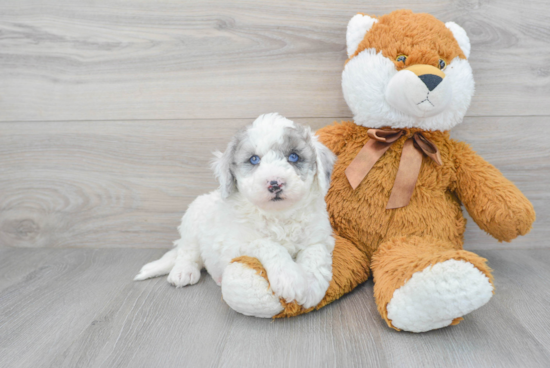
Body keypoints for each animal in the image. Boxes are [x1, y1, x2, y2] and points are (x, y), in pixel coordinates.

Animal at [136, 113, 338, 310]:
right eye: (254, 159)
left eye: (294, 157)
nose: (275, 183)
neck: (278, 215)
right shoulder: (235, 244)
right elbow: (269, 245)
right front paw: (289, 278)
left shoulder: (320, 238)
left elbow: (316, 254)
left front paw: (311, 287)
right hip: (192, 221)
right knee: (187, 251)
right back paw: (183, 271)